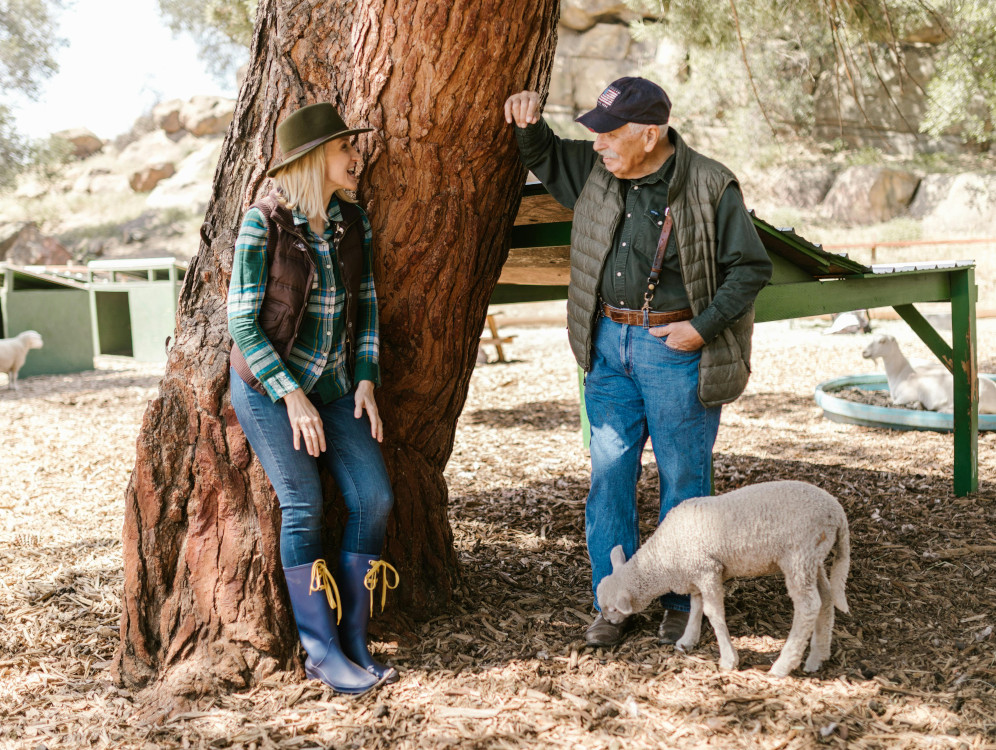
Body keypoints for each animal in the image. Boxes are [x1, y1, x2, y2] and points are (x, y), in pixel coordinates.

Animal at [596, 482, 852, 680]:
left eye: (613, 608)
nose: (607, 620)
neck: (661, 560)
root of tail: (837, 512)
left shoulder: (707, 570)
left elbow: (714, 613)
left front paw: (729, 659)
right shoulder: (696, 572)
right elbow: (696, 607)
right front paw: (688, 640)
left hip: (799, 554)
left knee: (808, 606)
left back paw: (783, 666)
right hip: (813, 558)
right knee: (826, 597)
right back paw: (817, 657)